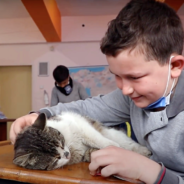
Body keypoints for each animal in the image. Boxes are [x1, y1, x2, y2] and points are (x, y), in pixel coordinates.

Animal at [13, 111, 151, 170]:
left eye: (61, 143)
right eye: (56, 159)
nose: (66, 154)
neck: (70, 143)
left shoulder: (81, 126)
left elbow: (98, 139)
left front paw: (113, 147)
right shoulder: (82, 154)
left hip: (112, 133)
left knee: (128, 144)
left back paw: (142, 150)